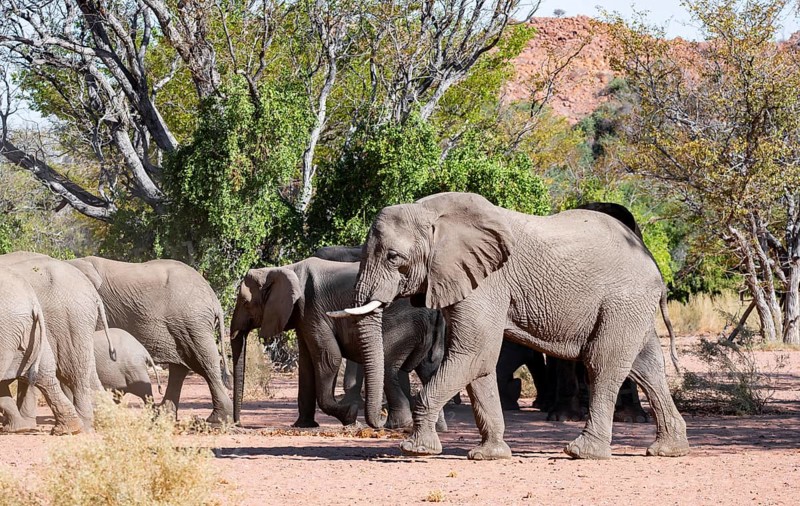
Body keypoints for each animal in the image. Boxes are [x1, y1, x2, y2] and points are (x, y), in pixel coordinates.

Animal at [67, 256, 233, 423]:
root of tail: (214, 299)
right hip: (184, 325)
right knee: (180, 367)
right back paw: (165, 416)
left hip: (192, 322)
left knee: (205, 363)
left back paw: (216, 420)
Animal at [230, 257, 447, 430]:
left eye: (245, 303)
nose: (238, 424)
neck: (285, 269)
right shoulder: (303, 316)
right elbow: (306, 365)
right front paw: (304, 425)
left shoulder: (313, 309)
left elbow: (329, 358)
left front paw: (350, 416)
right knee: (430, 370)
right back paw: (434, 427)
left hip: (404, 326)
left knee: (389, 368)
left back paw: (396, 426)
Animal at [330, 192, 689, 460]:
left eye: (394, 257)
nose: (377, 424)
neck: (432, 213)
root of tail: (651, 261)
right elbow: (480, 363)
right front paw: (489, 456)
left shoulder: (487, 281)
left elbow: (473, 353)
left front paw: (415, 450)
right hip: (632, 307)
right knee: (647, 367)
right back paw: (667, 449)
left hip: (622, 300)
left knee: (603, 363)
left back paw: (582, 452)